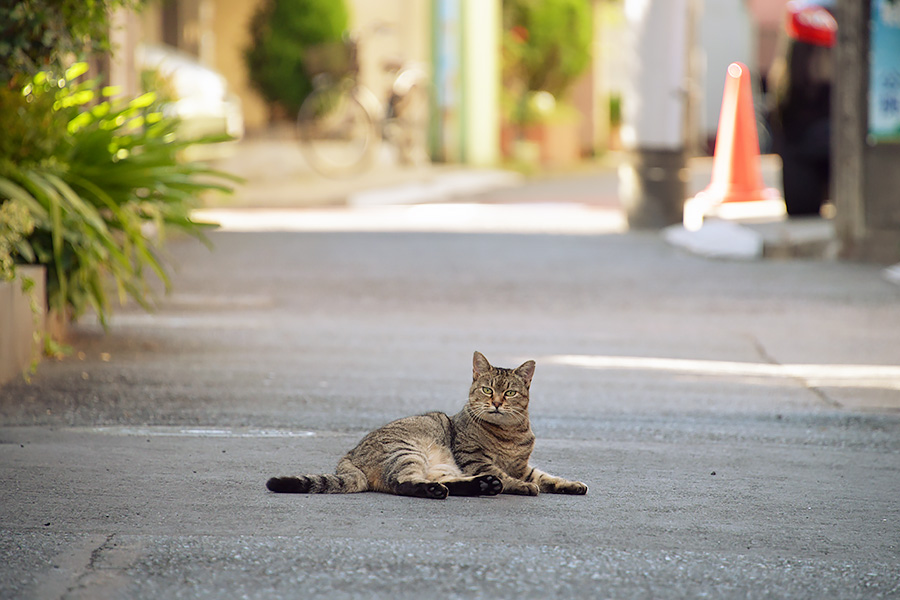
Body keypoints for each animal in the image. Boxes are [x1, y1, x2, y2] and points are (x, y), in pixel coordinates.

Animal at [266, 352, 592, 496]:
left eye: (510, 392)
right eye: (487, 390)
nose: (497, 403)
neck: (511, 433)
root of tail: (348, 456)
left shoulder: (523, 465)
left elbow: (547, 476)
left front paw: (570, 484)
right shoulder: (476, 459)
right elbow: (514, 478)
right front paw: (522, 487)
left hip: (439, 466)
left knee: (451, 483)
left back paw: (481, 486)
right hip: (406, 452)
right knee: (402, 484)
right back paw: (441, 489)